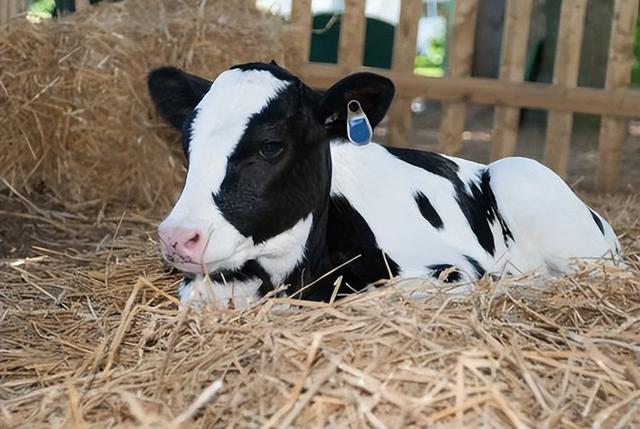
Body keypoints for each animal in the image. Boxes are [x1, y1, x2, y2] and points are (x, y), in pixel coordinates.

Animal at [149, 61, 620, 308]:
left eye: (270, 146)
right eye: (187, 141)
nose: (176, 237)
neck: (294, 275)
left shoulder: (451, 271)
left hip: (528, 185)